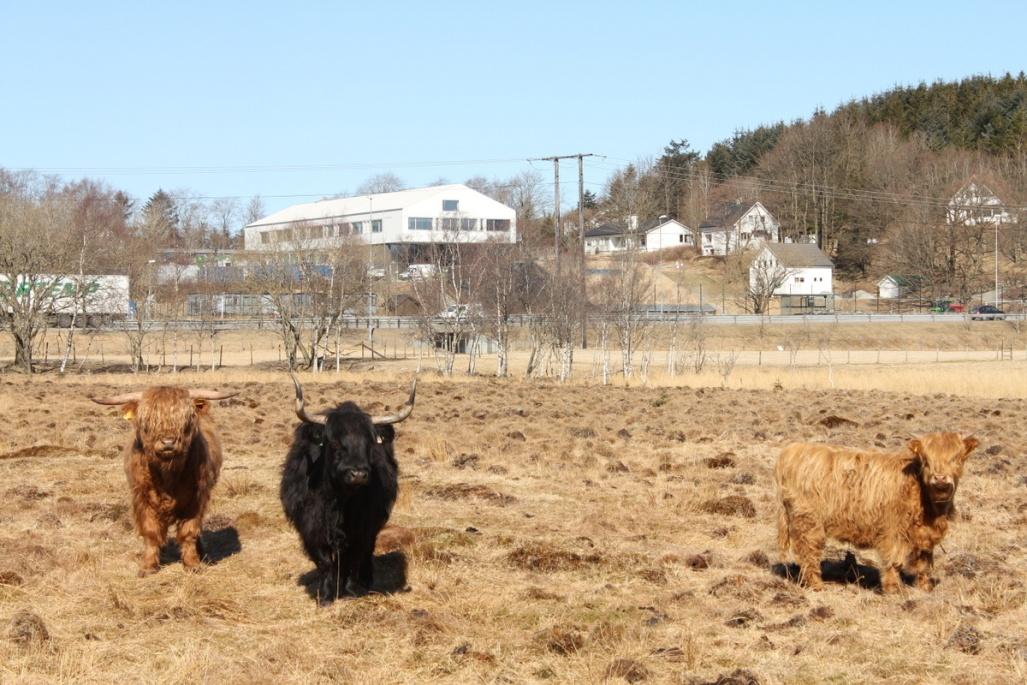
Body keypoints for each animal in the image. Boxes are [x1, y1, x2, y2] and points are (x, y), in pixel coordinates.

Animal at [91, 388, 236, 575]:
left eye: (185, 419)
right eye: (148, 421)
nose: (168, 442)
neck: (167, 474)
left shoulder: (196, 499)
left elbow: (189, 531)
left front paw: (192, 564)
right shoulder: (142, 498)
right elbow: (151, 532)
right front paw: (148, 566)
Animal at [281, 375, 416, 603]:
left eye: (370, 443)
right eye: (334, 442)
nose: (358, 474)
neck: (339, 501)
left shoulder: (363, 527)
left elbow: (354, 557)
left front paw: (351, 591)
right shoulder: (310, 527)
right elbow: (324, 561)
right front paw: (326, 595)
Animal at [776, 433, 977, 595]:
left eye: (957, 458)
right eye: (926, 460)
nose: (940, 478)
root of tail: (792, 450)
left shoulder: (925, 536)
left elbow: (924, 564)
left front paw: (925, 588)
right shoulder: (893, 531)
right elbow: (893, 561)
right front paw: (894, 590)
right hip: (809, 521)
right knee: (809, 552)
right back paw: (817, 585)